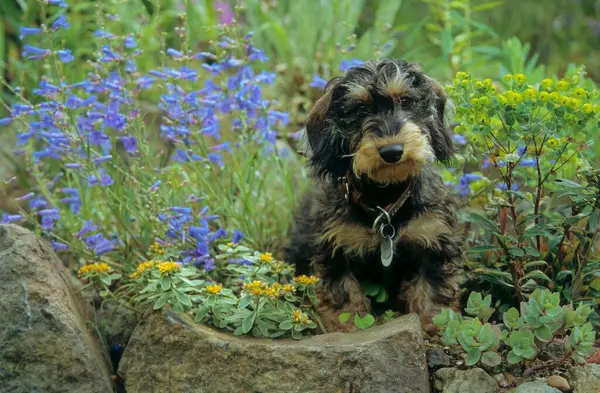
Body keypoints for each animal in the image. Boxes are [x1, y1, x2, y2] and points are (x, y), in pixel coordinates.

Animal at [284, 59, 462, 334]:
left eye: (406, 101)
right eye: (359, 109)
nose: (392, 151)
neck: (384, 199)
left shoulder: (432, 237)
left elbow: (431, 284)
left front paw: (434, 321)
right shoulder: (335, 246)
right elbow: (343, 291)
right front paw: (348, 325)